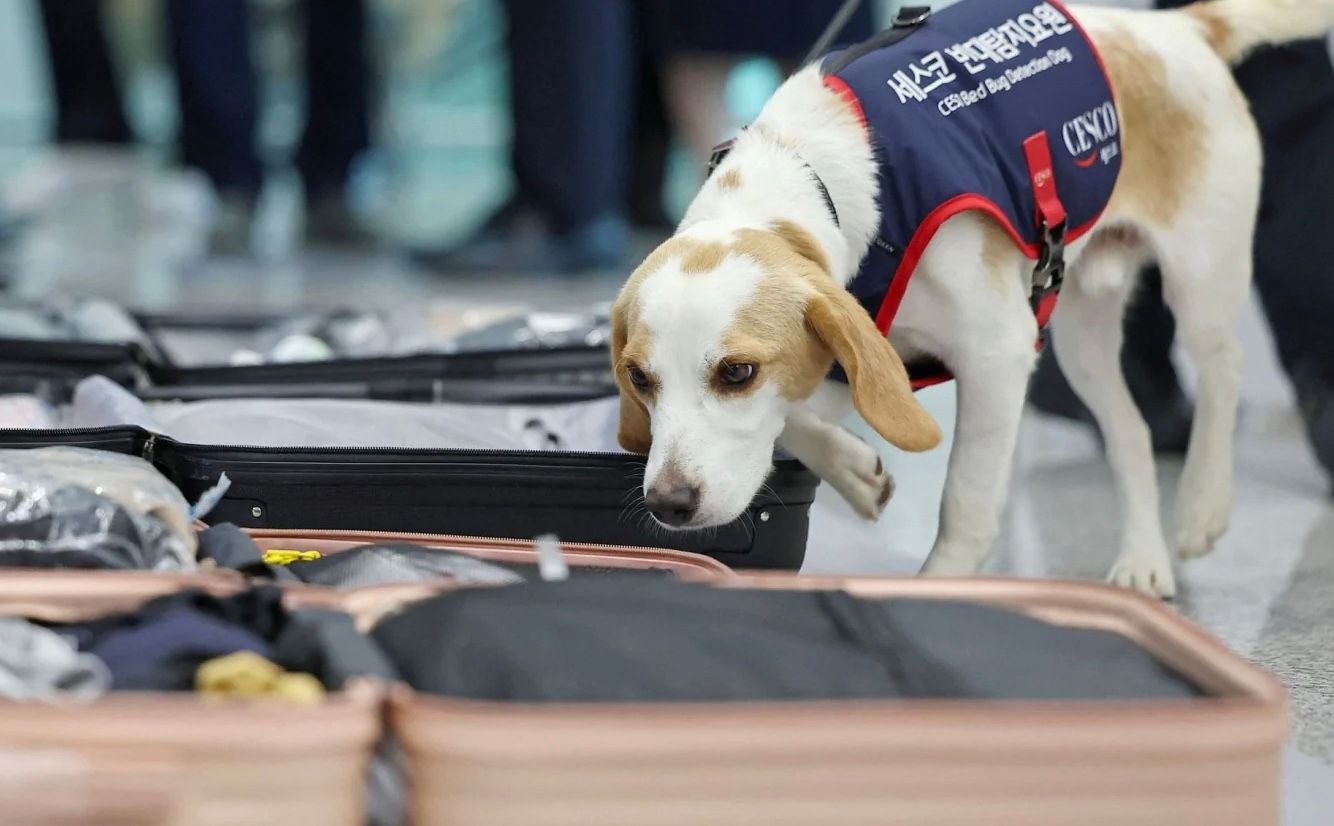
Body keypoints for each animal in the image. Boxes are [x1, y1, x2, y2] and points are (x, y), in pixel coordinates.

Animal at [608, 0, 1334, 597]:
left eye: (737, 372)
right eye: (639, 379)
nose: (668, 503)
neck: (811, 176)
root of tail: (1175, 28)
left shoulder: (997, 355)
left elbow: (967, 500)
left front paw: (943, 584)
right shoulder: (855, 352)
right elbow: (798, 419)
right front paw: (853, 469)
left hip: (1200, 278)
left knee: (1223, 371)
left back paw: (1205, 505)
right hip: (1079, 337)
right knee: (1130, 431)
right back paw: (1143, 561)